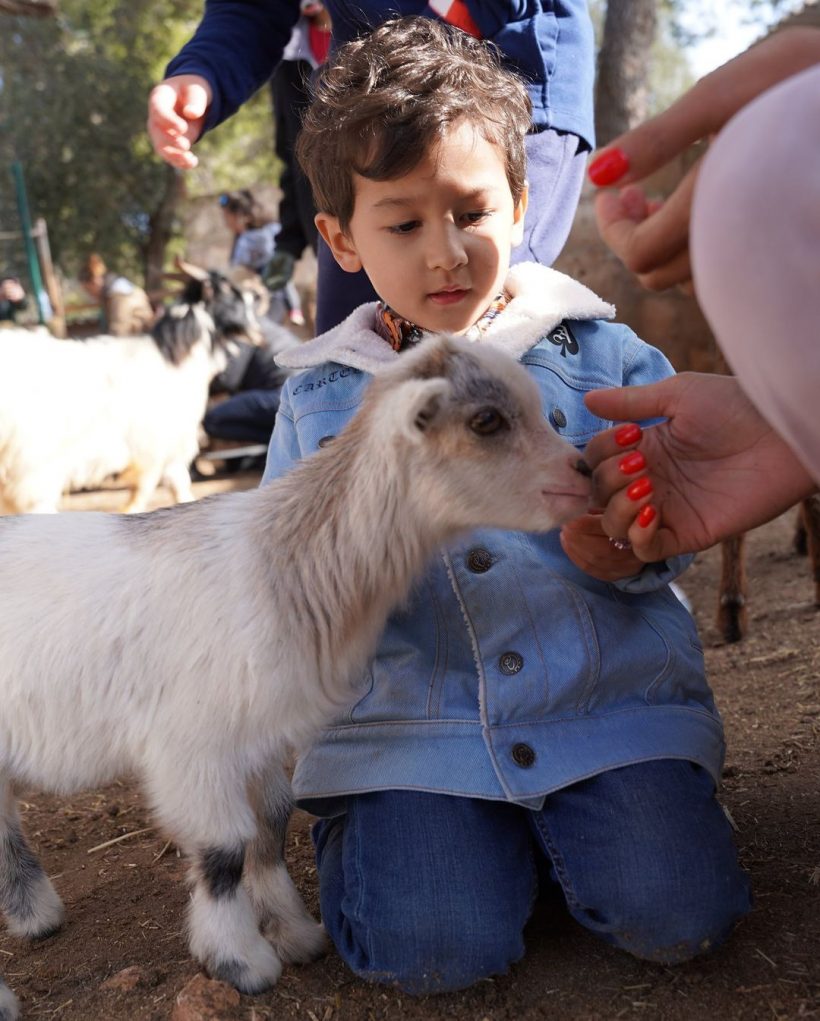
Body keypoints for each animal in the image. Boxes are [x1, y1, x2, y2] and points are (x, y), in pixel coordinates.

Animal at [0, 334, 592, 1021]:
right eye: (486, 421)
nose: (583, 473)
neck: (283, 561)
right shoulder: (193, 745)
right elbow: (224, 848)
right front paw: (240, 962)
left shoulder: (256, 735)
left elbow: (271, 826)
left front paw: (295, 934)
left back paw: (34, 914)